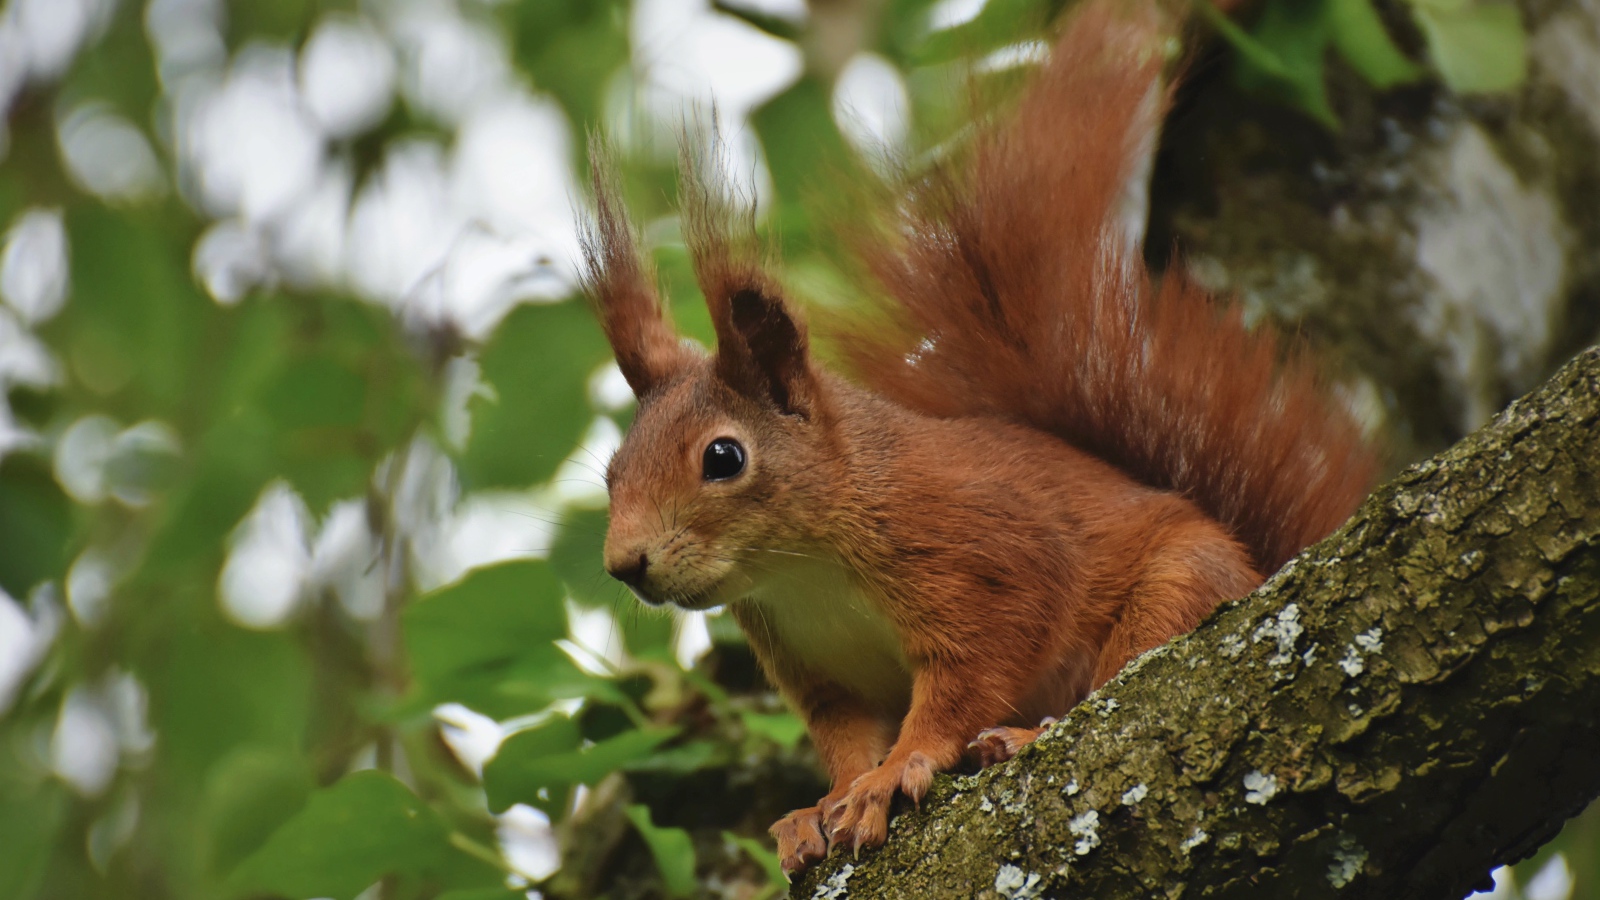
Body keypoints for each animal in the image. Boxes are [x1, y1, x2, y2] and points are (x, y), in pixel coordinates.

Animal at [582, 0, 1369, 871]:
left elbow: (966, 683)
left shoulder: (982, 556)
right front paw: (821, 806)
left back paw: (1024, 734)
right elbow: (844, 736)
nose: (625, 565)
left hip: (1182, 585)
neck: (803, 567)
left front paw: (895, 773)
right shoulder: (817, 666)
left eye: (723, 457)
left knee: (1130, 666)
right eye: (612, 471)